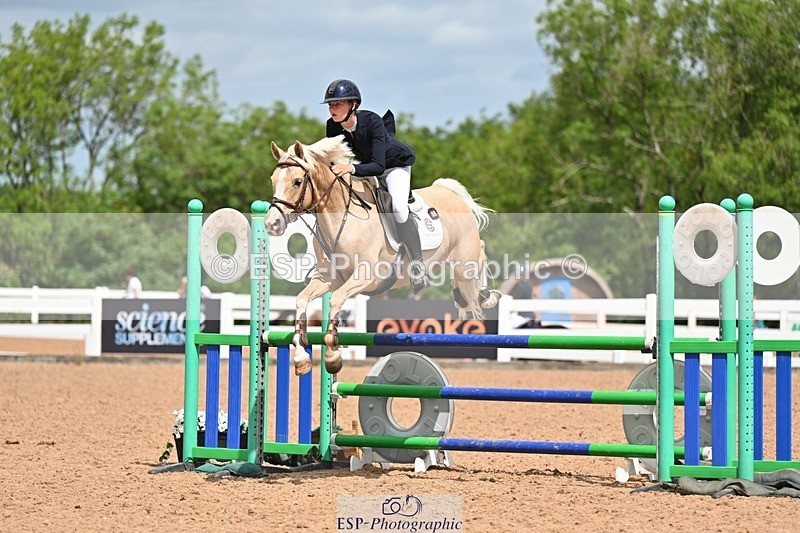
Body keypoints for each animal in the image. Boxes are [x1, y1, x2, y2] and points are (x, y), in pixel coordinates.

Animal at [266, 135, 500, 375]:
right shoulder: (327, 279)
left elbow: (337, 299)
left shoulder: (366, 276)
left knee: (480, 254)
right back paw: (466, 296)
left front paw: (332, 355)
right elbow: (302, 300)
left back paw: (486, 295)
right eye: (273, 180)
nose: (272, 224)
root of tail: (450, 191)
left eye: (297, 181)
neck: (342, 218)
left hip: (465, 256)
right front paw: (301, 357)